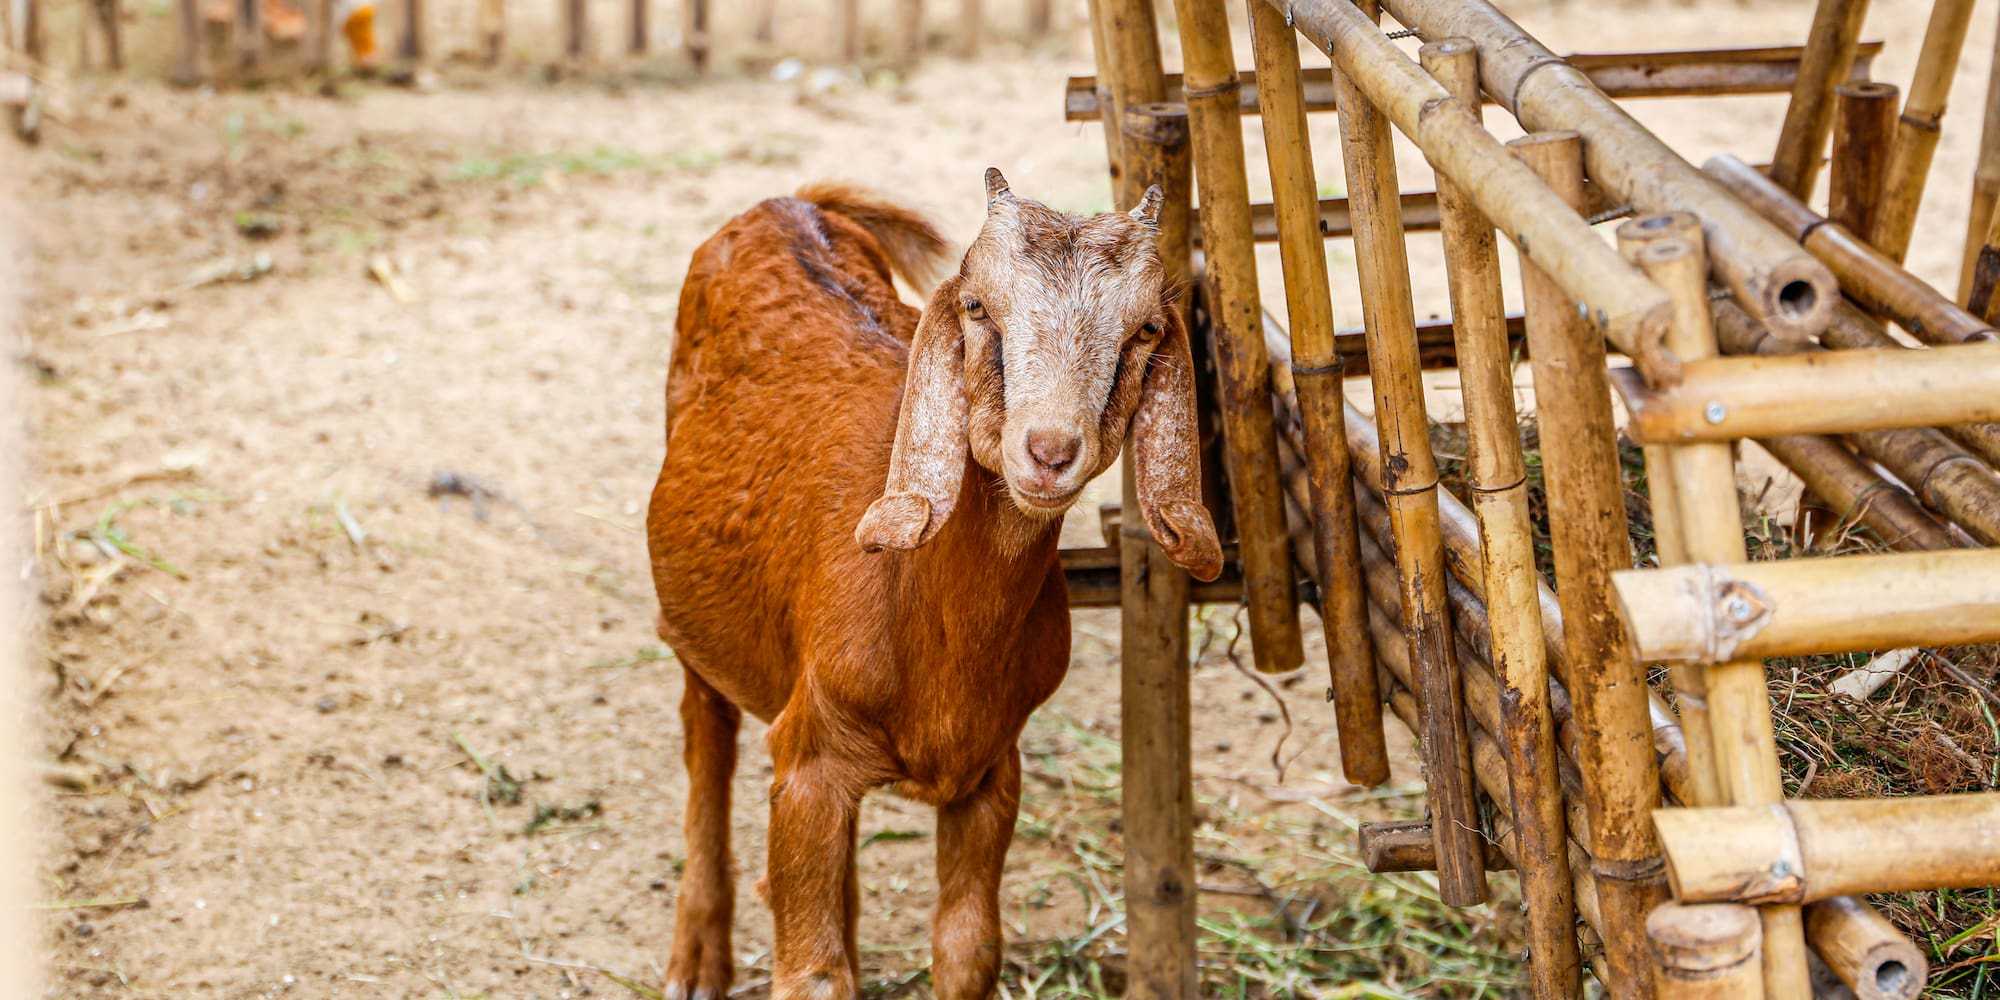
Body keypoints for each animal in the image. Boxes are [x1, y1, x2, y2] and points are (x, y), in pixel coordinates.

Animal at [646, 168, 1222, 1000]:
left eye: (1145, 330)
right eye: (977, 305)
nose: (1049, 451)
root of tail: (789, 201)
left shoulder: (990, 772)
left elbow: (968, 947)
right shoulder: (809, 765)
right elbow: (813, 974)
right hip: (697, 619)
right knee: (706, 737)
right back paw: (697, 962)